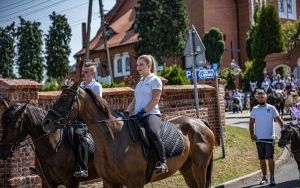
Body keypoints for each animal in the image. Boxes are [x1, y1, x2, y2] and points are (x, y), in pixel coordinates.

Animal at [42, 84, 216, 187]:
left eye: (64, 98)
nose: (46, 122)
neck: (112, 139)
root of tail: (199, 122)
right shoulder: (109, 182)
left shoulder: (135, 182)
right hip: (187, 168)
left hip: (199, 168)